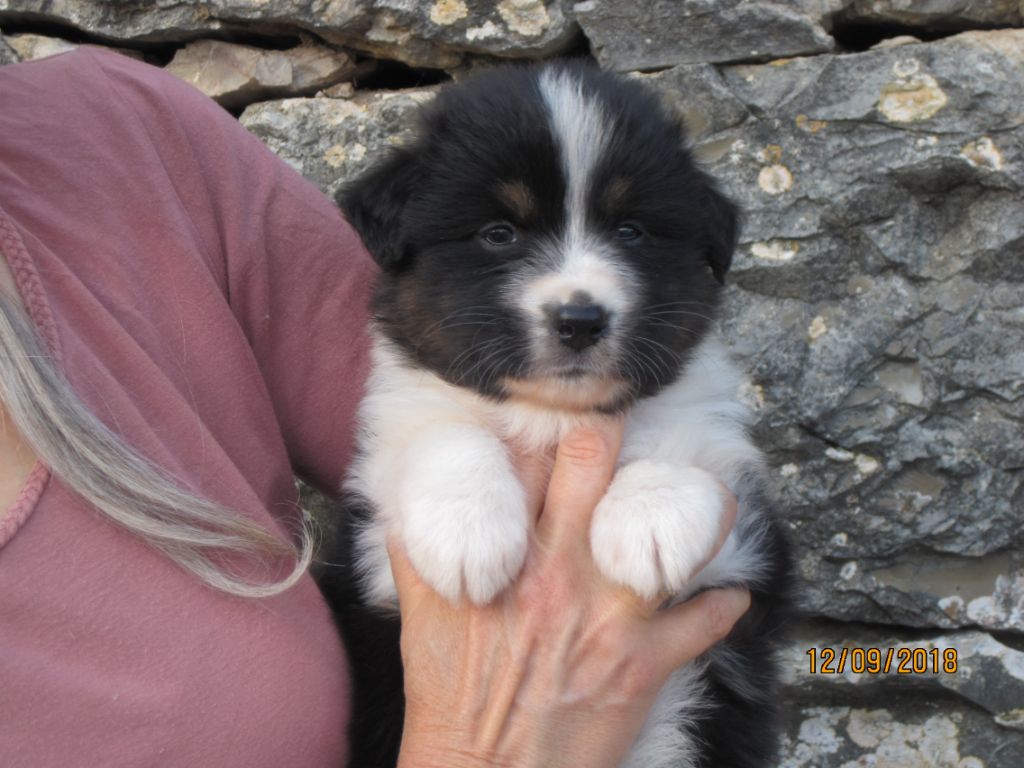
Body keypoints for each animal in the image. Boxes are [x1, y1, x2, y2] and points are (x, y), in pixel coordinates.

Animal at [323, 61, 786, 768]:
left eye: (630, 231)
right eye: (499, 233)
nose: (580, 319)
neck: (554, 417)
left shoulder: (746, 576)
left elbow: (682, 441)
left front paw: (653, 520)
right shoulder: (374, 551)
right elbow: (443, 430)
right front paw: (470, 531)